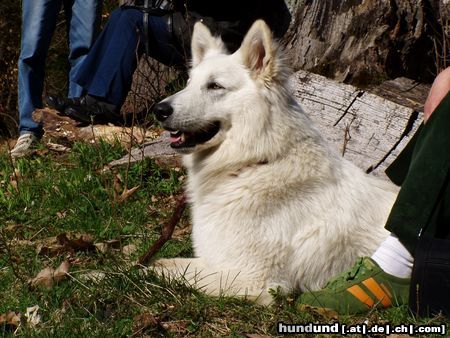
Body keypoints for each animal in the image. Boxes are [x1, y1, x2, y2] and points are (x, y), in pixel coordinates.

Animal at [153, 19, 400, 304]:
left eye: (215, 86)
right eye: (189, 83)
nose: (158, 110)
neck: (256, 162)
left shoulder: (252, 279)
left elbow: (162, 271)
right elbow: (162, 263)